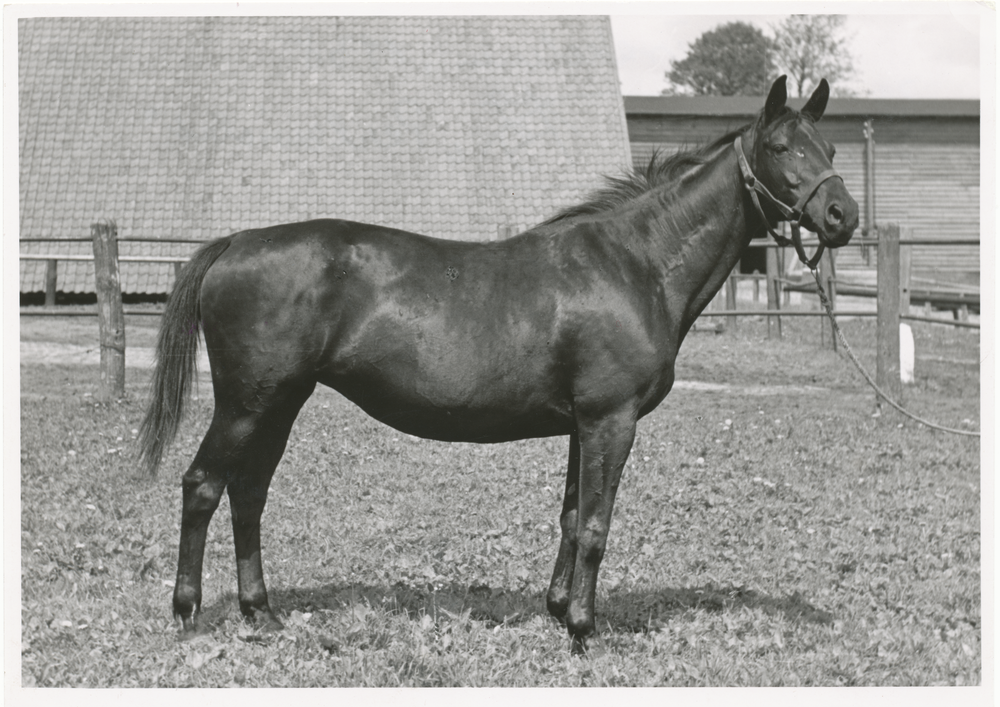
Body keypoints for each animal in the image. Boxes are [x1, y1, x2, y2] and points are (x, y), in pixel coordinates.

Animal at [141, 77, 860, 652]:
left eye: (830, 149)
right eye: (781, 148)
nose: (842, 215)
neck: (635, 263)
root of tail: (237, 242)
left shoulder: (582, 425)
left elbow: (570, 517)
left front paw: (557, 609)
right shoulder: (611, 420)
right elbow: (595, 524)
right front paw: (582, 630)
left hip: (281, 403)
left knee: (248, 494)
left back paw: (260, 613)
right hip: (248, 403)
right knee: (203, 486)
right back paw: (187, 612)